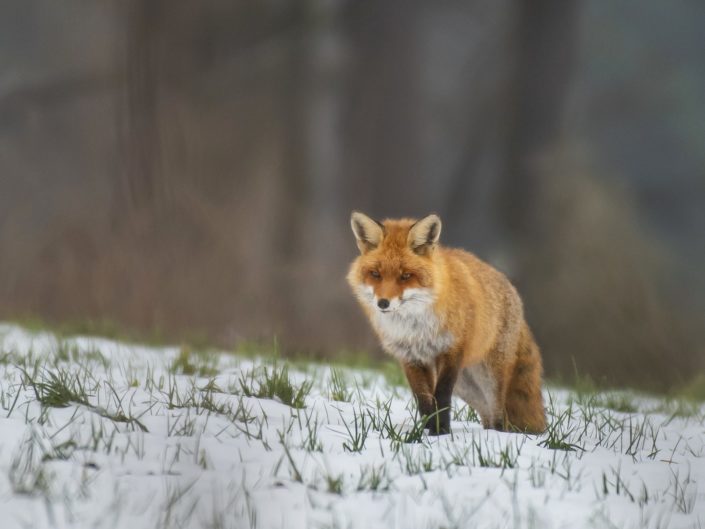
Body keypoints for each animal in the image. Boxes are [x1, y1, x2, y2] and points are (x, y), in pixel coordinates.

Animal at [346, 210, 544, 434]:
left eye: (406, 276)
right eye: (375, 274)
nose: (383, 303)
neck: (415, 328)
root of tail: (511, 287)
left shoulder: (451, 352)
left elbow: (441, 395)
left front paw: (441, 432)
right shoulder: (411, 357)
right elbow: (424, 400)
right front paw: (426, 431)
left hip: (491, 377)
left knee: (499, 414)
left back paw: (498, 435)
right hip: (467, 385)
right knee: (487, 415)